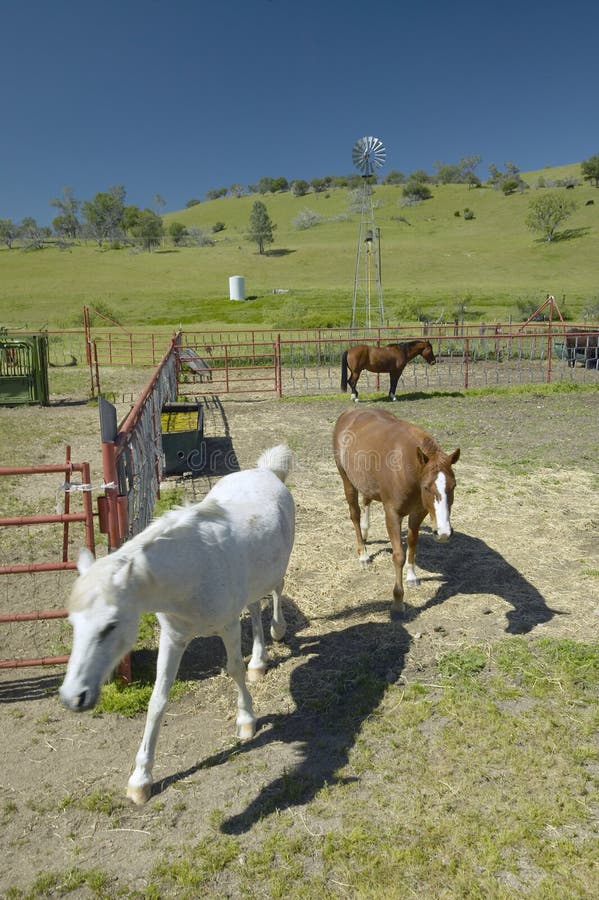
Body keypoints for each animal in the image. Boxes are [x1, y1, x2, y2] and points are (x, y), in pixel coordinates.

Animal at [60, 445, 295, 805]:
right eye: (73, 623)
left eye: (111, 625)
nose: (74, 696)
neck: (191, 571)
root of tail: (265, 471)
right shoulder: (173, 637)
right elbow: (158, 698)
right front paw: (141, 779)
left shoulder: (227, 626)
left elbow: (234, 669)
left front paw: (246, 721)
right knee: (254, 606)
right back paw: (259, 661)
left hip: (276, 569)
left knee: (277, 591)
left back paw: (277, 632)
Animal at [333, 407, 460, 615]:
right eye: (426, 487)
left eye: (453, 486)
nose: (443, 533)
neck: (406, 467)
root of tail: (348, 413)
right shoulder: (392, 514)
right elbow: (398, 555)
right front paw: (398, 600)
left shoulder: (419, 512)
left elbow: (413, 543)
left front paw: (412, 576)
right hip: (347, 480)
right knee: (355, 514)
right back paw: (363, 554)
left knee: (366, 500)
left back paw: (366, 533)